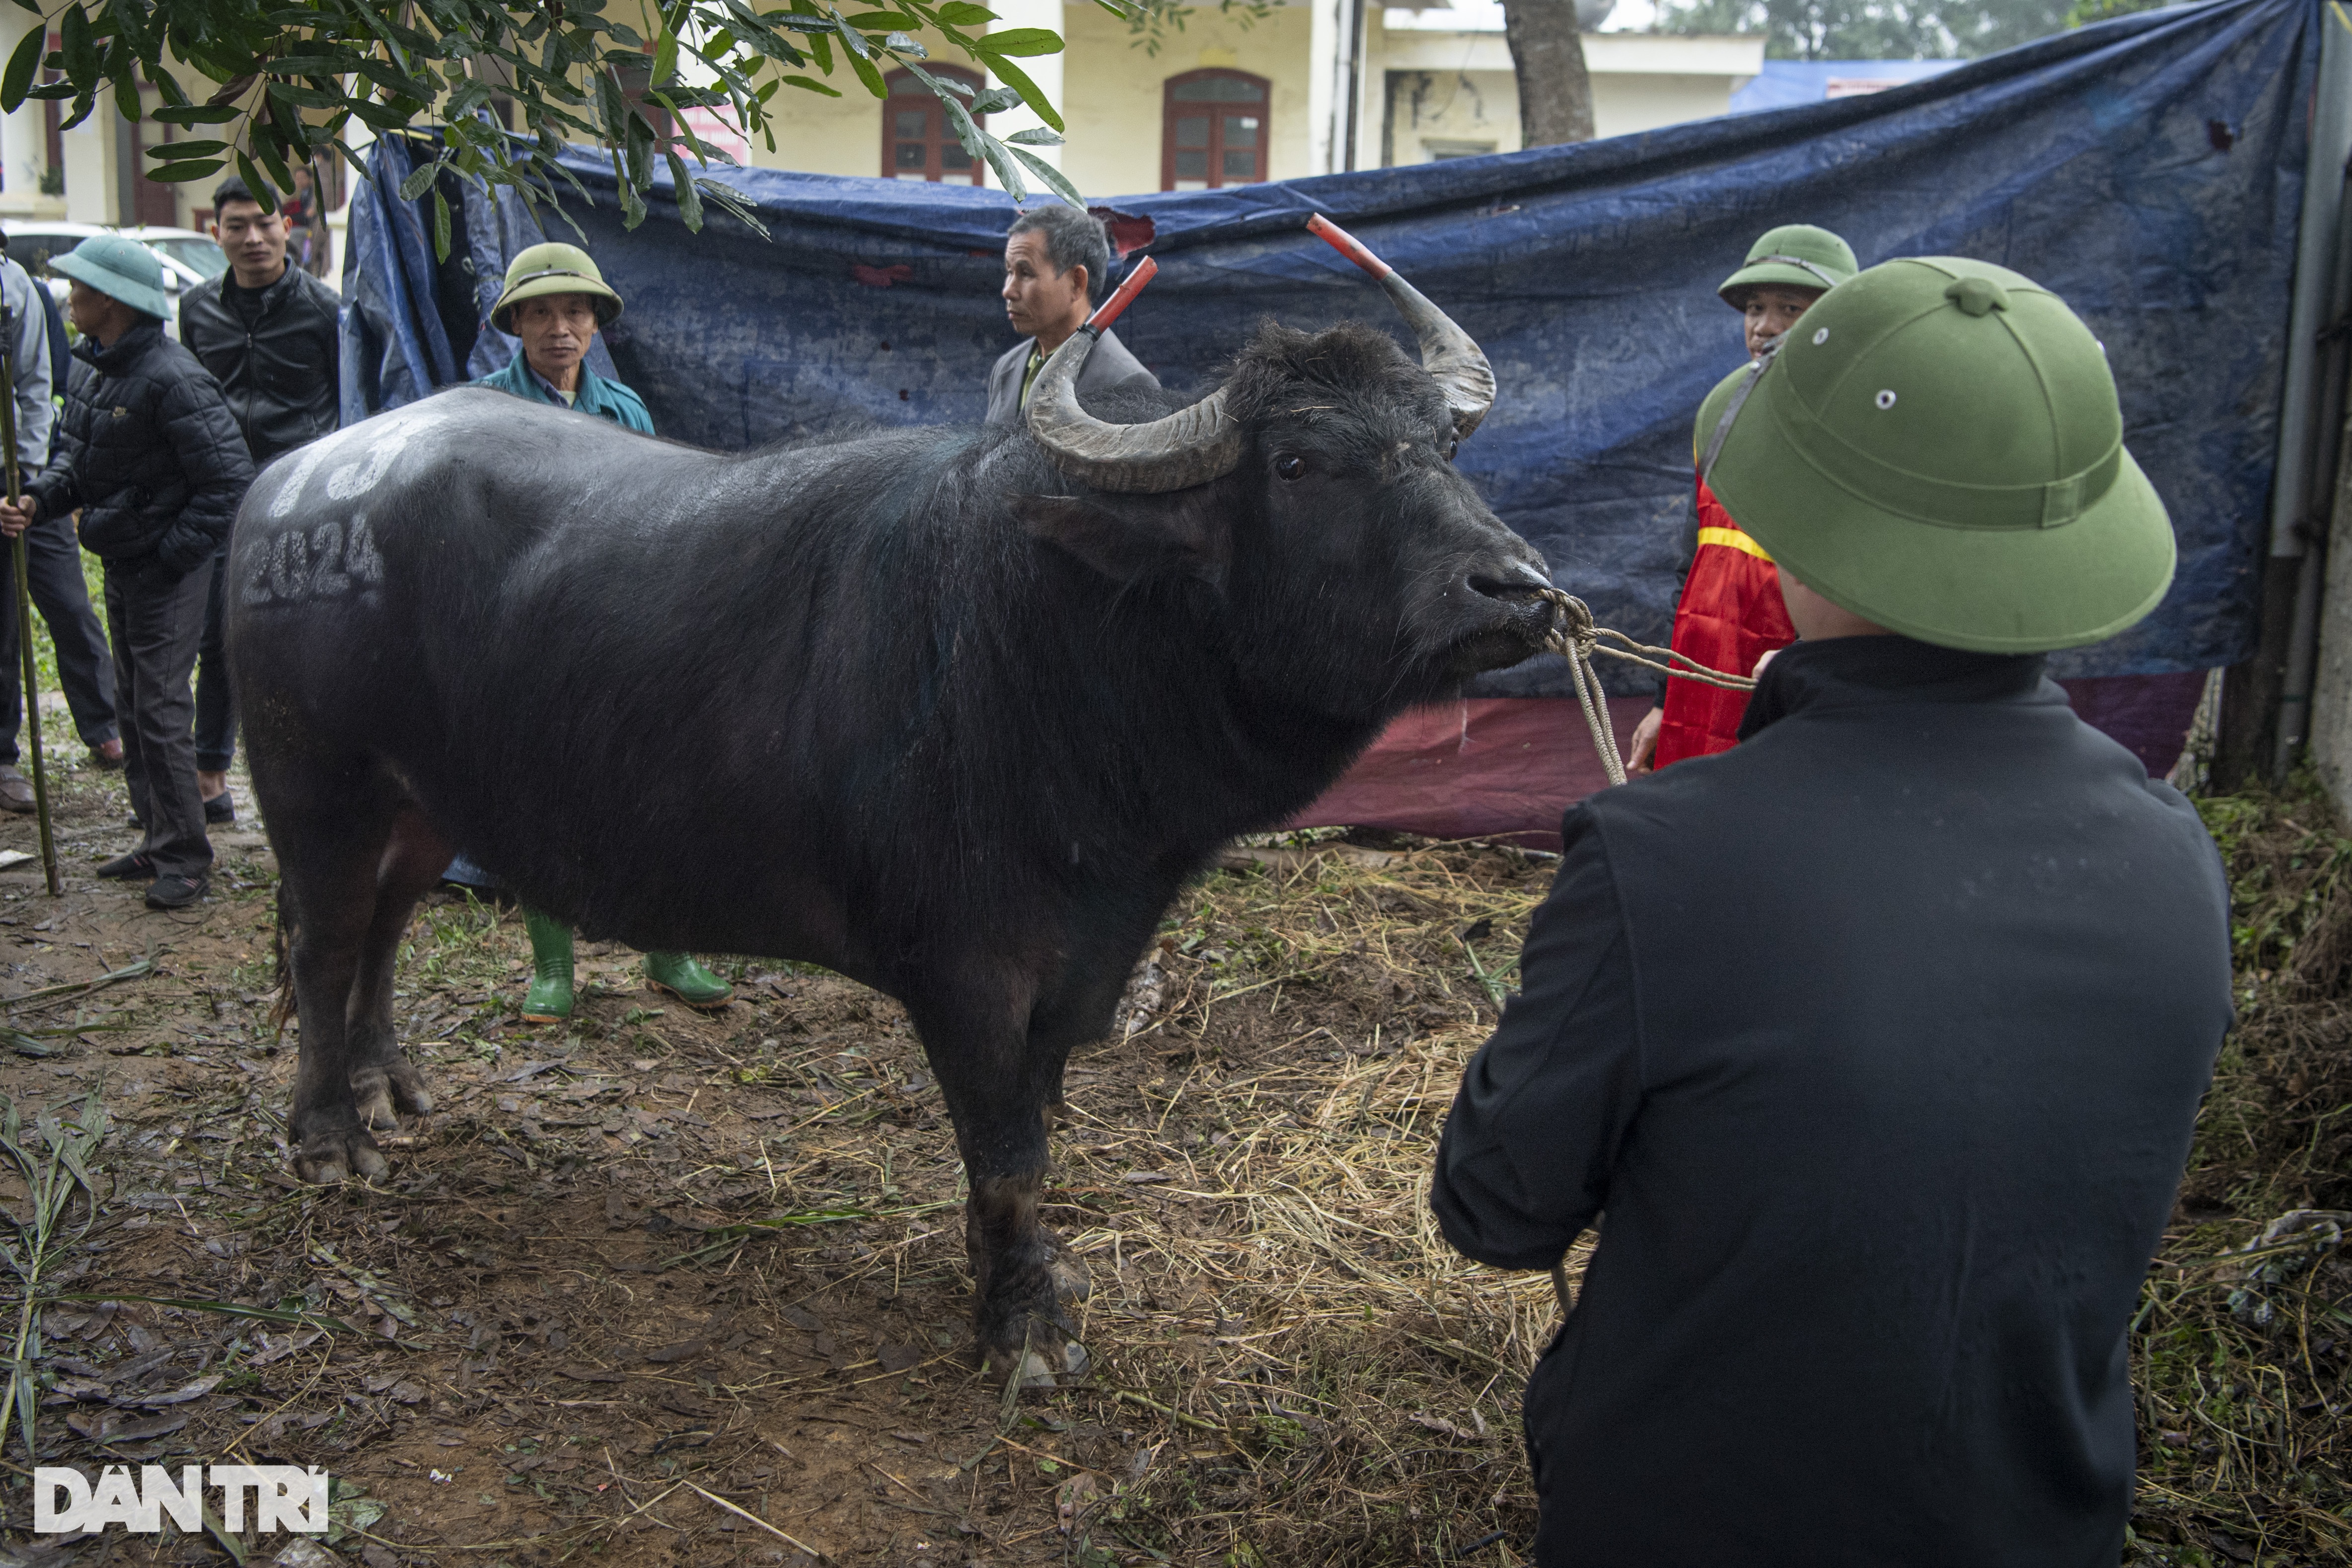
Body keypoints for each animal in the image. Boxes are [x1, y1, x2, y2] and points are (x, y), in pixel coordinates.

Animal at [234, 261, 1561, 1382]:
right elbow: (1011, 1158)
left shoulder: (1072, 970)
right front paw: (1024, 1328)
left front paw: (1007, 1275)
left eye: (1443, 445)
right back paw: (329, 1137)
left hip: (416, 803)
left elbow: (1027, 1133)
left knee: (383, 930)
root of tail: (289, 486)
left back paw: (389, 1088)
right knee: (324, 942)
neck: (1051, 642)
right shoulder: (964, 972)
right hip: (316, 785)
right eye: (1295, 465)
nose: (1517, 591)